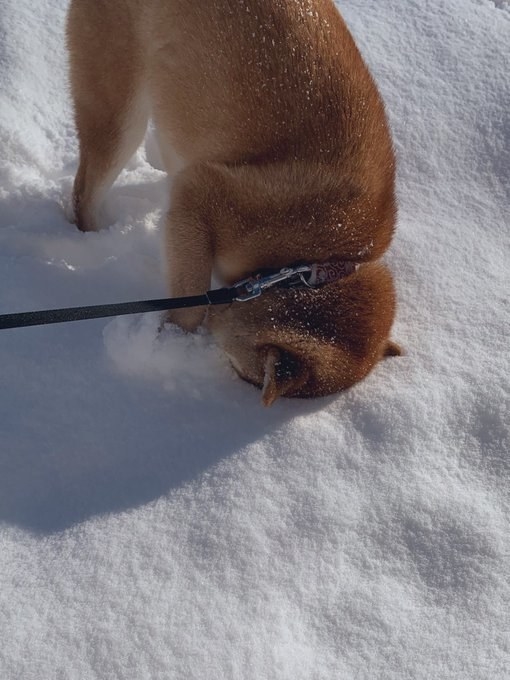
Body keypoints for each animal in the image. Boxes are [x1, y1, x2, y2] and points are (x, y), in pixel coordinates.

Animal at [67, 0, 400, 404]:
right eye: (249, 376)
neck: (316, 260)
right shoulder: (200, 196)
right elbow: (192, 299)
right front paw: (171, 341)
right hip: (120, 116)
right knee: (85, 194)